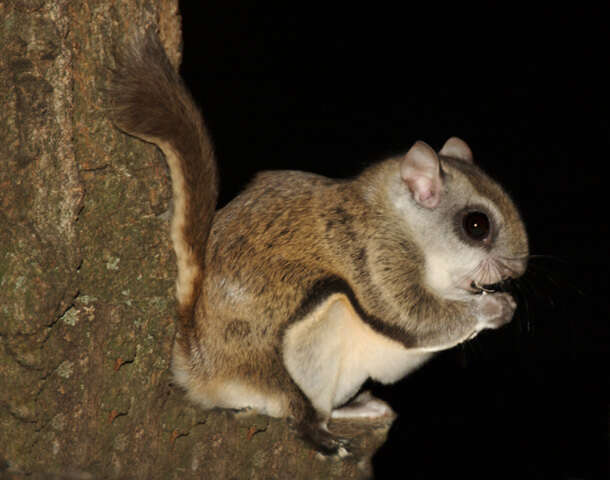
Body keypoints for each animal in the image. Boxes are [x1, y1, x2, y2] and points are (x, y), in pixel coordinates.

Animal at [108, 31, 528, 454]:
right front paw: (494, 307)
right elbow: (412, 315)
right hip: (305, 340)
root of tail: (198, 365)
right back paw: (318, 433)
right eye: (476, 225)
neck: (401, 221)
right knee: (293, 406)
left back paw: (356, 409)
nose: (517, 268)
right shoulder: (372, 254)